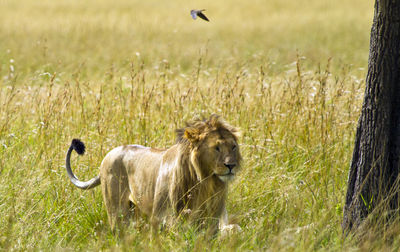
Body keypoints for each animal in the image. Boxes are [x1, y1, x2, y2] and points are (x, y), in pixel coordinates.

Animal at [64, 114, 242, 234]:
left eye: (233, 146)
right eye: (216, 148)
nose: (231, 165)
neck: (205, 181)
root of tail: (108, 156)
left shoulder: (212, 218)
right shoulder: (162, 216)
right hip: (117, 212)